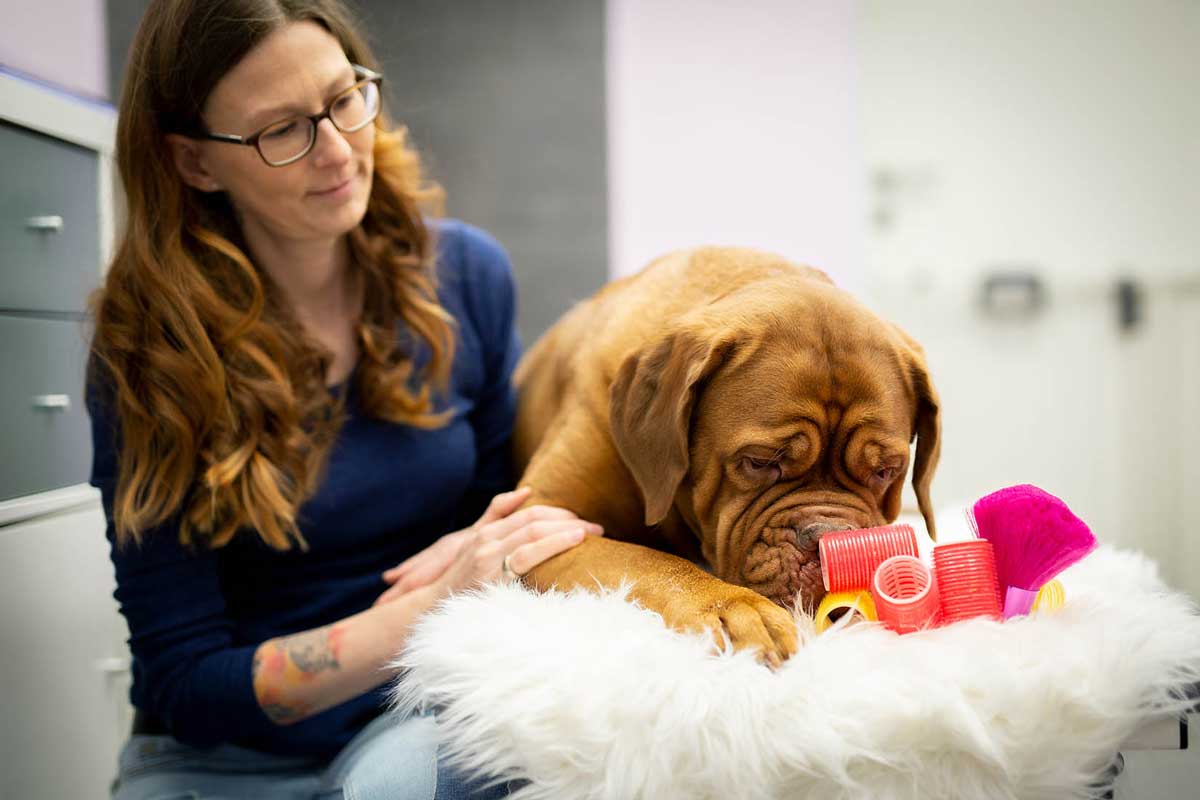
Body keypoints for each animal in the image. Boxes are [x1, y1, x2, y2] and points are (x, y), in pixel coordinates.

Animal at [513, 247, 940, 664]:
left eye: (886, 471)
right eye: (761, 462)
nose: (829, 540)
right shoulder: (543, 523)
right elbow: (649, 562)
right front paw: (734, 607)